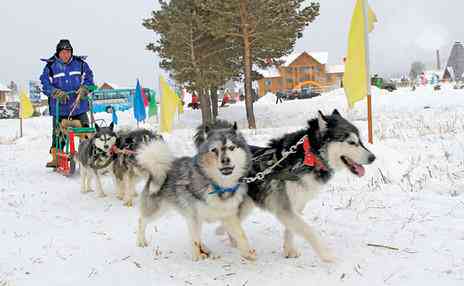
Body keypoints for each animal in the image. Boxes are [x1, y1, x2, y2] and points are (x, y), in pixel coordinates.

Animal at [137, 123, 258, 262]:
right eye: (214, 150)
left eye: (231, 147)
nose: (225, 160)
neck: (218, 185)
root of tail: (159, 167)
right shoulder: (194, 217)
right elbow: (195, 240)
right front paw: (197, 257)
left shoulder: (229, 215)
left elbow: (241, 234)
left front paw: (247, 253)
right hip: (157, 209)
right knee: (142, 220)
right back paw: (141, 241)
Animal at [194, 110, 376, 262]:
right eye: (351, 142)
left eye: (360, 140)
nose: (373, 157)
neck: (307, 158)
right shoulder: (285, 207)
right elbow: (308, 230)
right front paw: (326, 255)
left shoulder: (295, 206)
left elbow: (291, 230)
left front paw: (289, 251)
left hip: (245, 206)